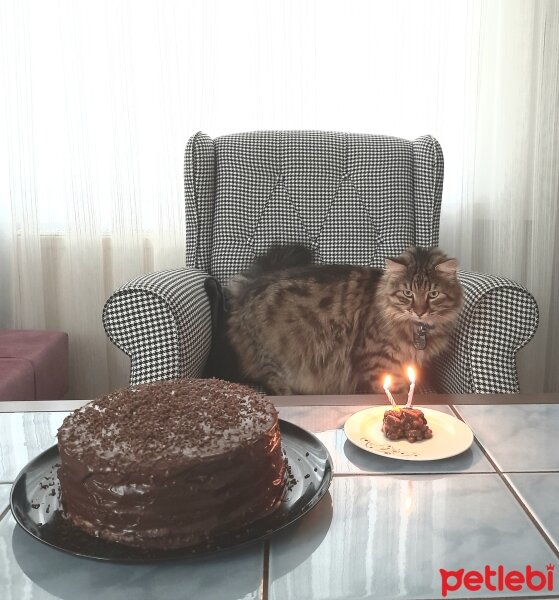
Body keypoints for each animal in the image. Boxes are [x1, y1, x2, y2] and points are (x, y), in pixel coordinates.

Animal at [223, 244, 464, 394]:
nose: (420, 311)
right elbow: (394, 392)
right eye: (407, 293)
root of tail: (245, 291)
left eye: (433, 294)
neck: (417, 329)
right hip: (274, 362)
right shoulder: (377, 363)